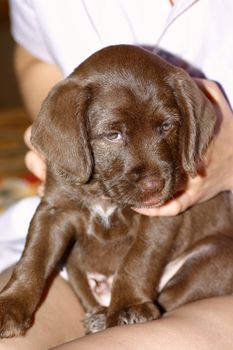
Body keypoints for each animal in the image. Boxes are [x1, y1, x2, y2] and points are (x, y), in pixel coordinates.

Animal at [0, 43, 233, 336]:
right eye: (113, 135)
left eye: (166, 126)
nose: (155, 185)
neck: (104, 193)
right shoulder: (55, 210)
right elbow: (33, 257)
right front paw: (11, 304)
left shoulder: (160, 218)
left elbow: (138, 259)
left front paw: (129, 306)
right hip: (74, 267)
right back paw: (98, 315)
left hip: (213, 259)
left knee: (172, 295)